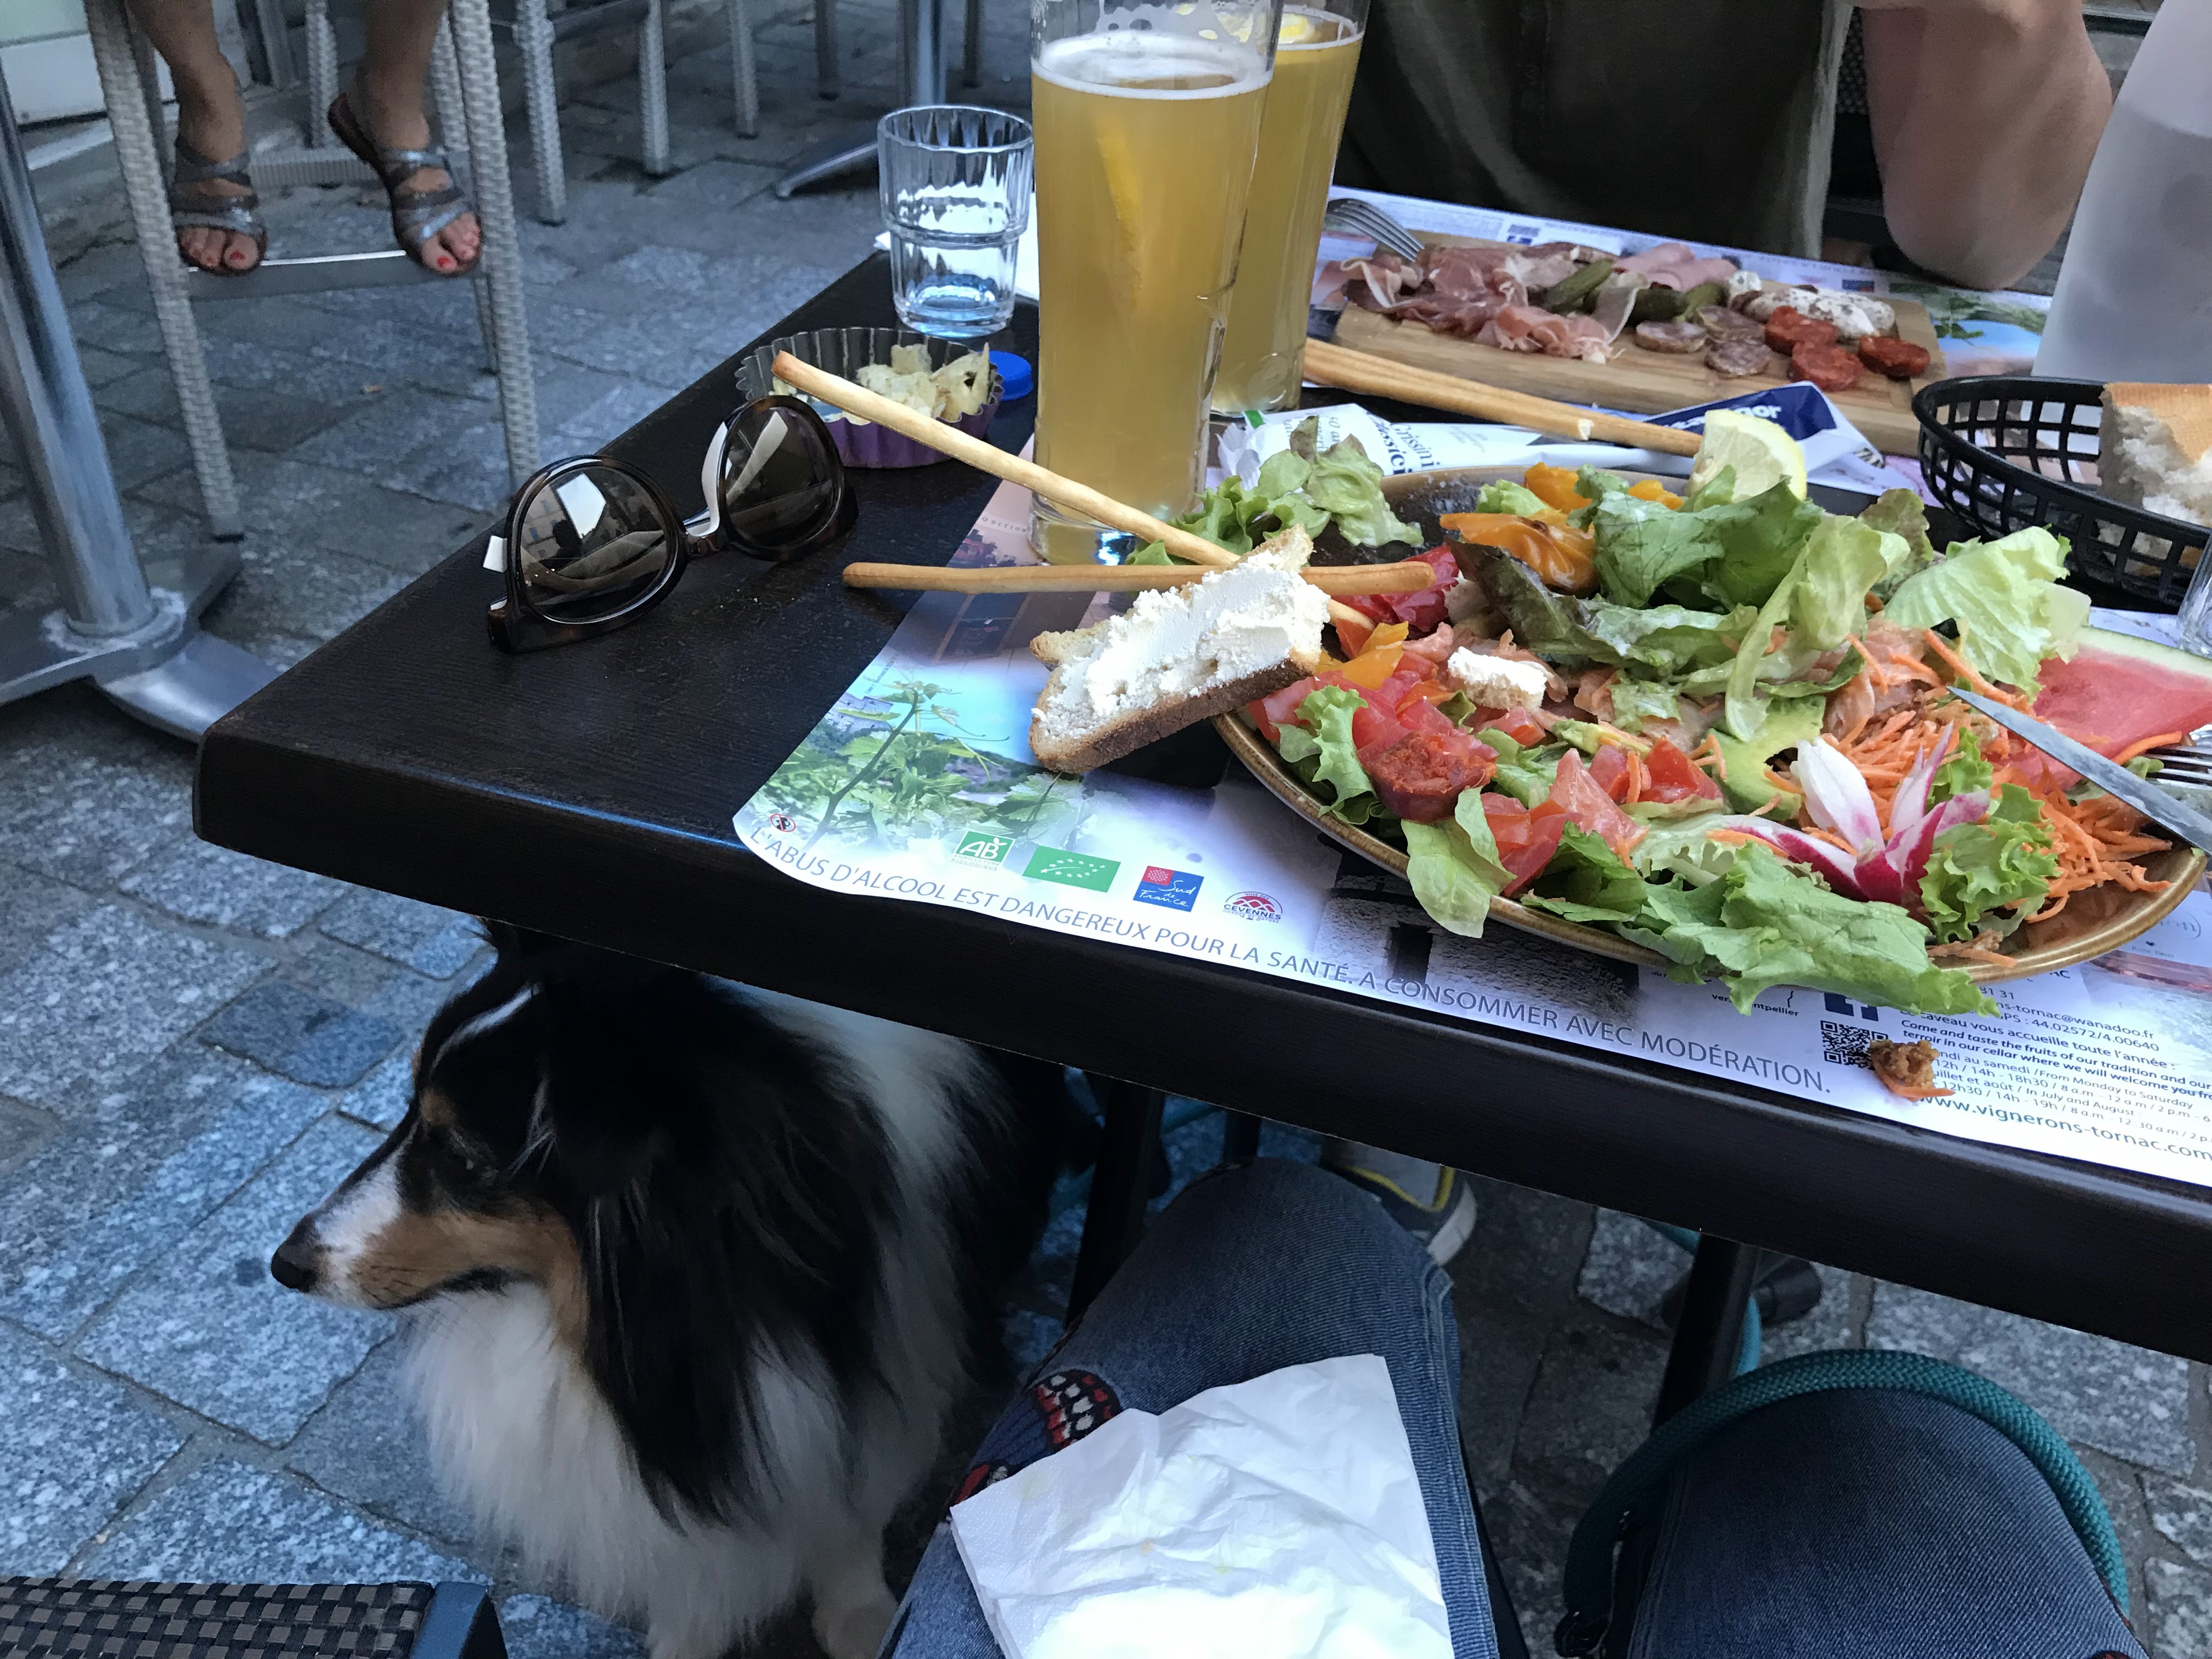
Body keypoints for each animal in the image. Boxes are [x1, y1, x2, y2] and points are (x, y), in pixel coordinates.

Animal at [271, 925, 1060, 1659]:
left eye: (463, 1157)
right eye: (408, 1112)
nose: (285, 1264)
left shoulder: (894, 1332)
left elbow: (857, 1487)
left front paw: (862, 1617)